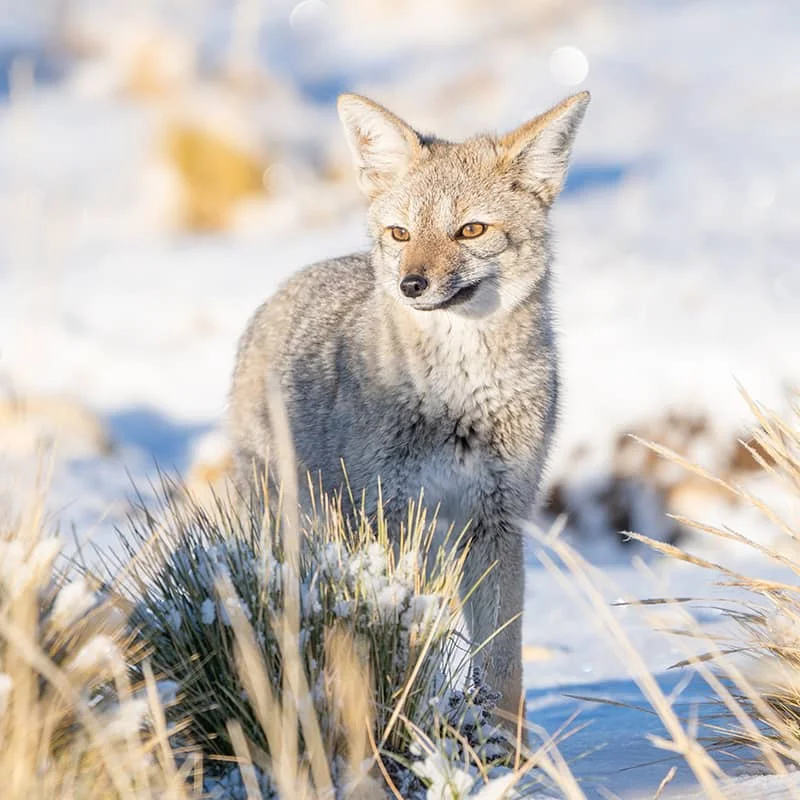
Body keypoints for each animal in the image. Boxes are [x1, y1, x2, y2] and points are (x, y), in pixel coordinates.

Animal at [228, 90, 590, 730]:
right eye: (400, 233)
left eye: (470, 229)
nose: (411, 284)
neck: (457, 402)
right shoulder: (389, 517)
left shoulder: (496, 523)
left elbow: (503, 669)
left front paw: (506, 748)